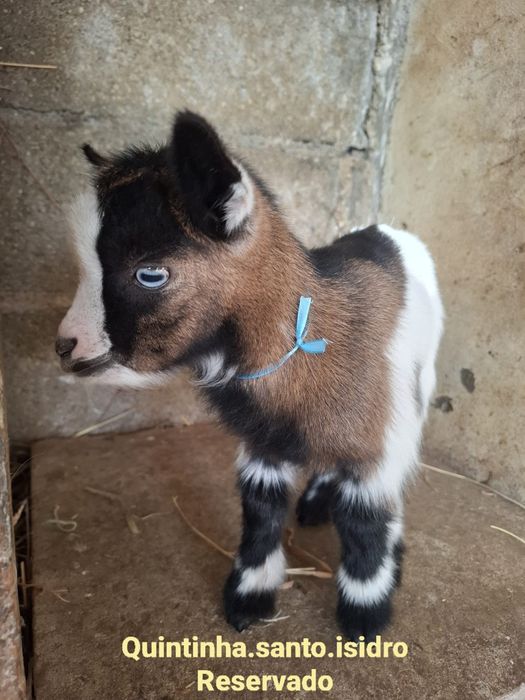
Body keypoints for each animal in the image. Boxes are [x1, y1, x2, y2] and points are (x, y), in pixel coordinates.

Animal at [56, 111, 444, 639]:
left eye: (150, 274)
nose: (64, 346)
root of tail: (390, 230)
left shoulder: (373, 445)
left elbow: (365, 524)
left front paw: (365, 616)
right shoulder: (264, 445)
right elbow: (261, 513)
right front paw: (249, 597)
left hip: (418, 382)